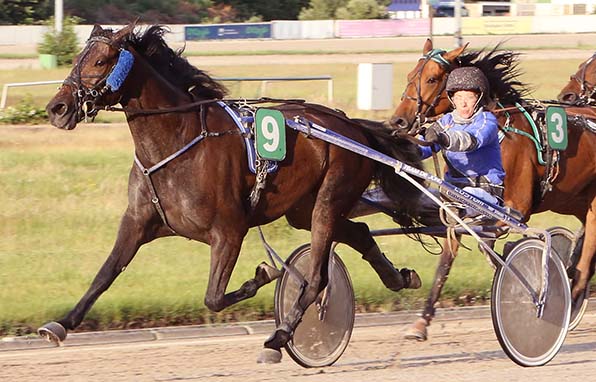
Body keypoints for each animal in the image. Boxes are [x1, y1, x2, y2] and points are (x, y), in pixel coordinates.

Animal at [38, 23, 424, 364]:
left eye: (101, 61)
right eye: (78, 58)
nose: (57, 108)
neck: (177, 141)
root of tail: (352, 126)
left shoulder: (229, 231)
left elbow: (213, 297)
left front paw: (264, 275)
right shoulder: (137, 222)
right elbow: (105, 274)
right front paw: (61, 324)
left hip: (328, 200)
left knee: (317, 277)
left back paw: (280, 337)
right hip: (303, 209)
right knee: (358, 232)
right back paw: (398, 277)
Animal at [388, 40, 592, 342]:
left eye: (432, 79)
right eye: (410, 75)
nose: (398, 122)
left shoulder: (514, 209)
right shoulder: (461, 212)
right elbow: (449, 259)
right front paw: (421, 322)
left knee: (588, 249)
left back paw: (572, 296)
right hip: (572, 199)